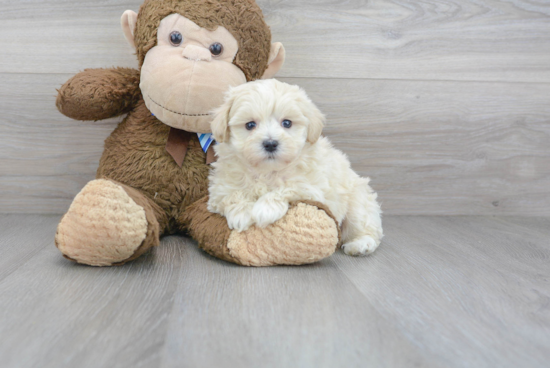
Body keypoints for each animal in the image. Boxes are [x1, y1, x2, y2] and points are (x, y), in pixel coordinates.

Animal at [207, 79, 384, 256]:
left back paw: (360, 244)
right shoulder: (219, 188)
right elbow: (232, 194)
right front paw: (242, 213)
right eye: (250, 125)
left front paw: (265, 209)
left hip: (357, 201)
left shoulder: (313, 187)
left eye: (287, 123)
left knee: (365, 226)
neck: (267, 171)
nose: (270, 144)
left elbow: (289, 187)